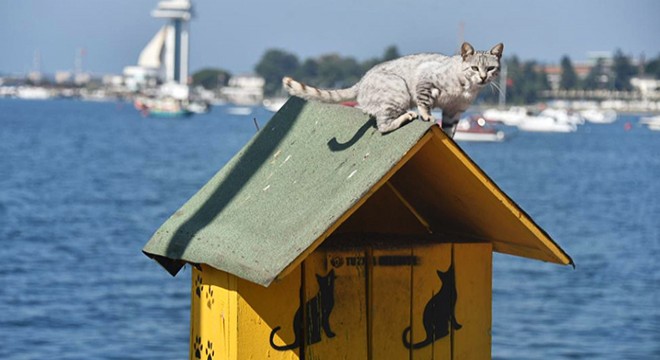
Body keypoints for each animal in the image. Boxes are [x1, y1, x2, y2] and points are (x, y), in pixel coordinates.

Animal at [282, 41, 502, 136]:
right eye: (474, 68)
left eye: (490, 68)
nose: (483, 77)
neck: (468, 87)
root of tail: (362, 80)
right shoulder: (426, 79)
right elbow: (424, 103)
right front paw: (427, 116)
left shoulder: (454, 112)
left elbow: (450, 129)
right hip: (399, 90)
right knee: (382, 125)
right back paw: (406, 116)